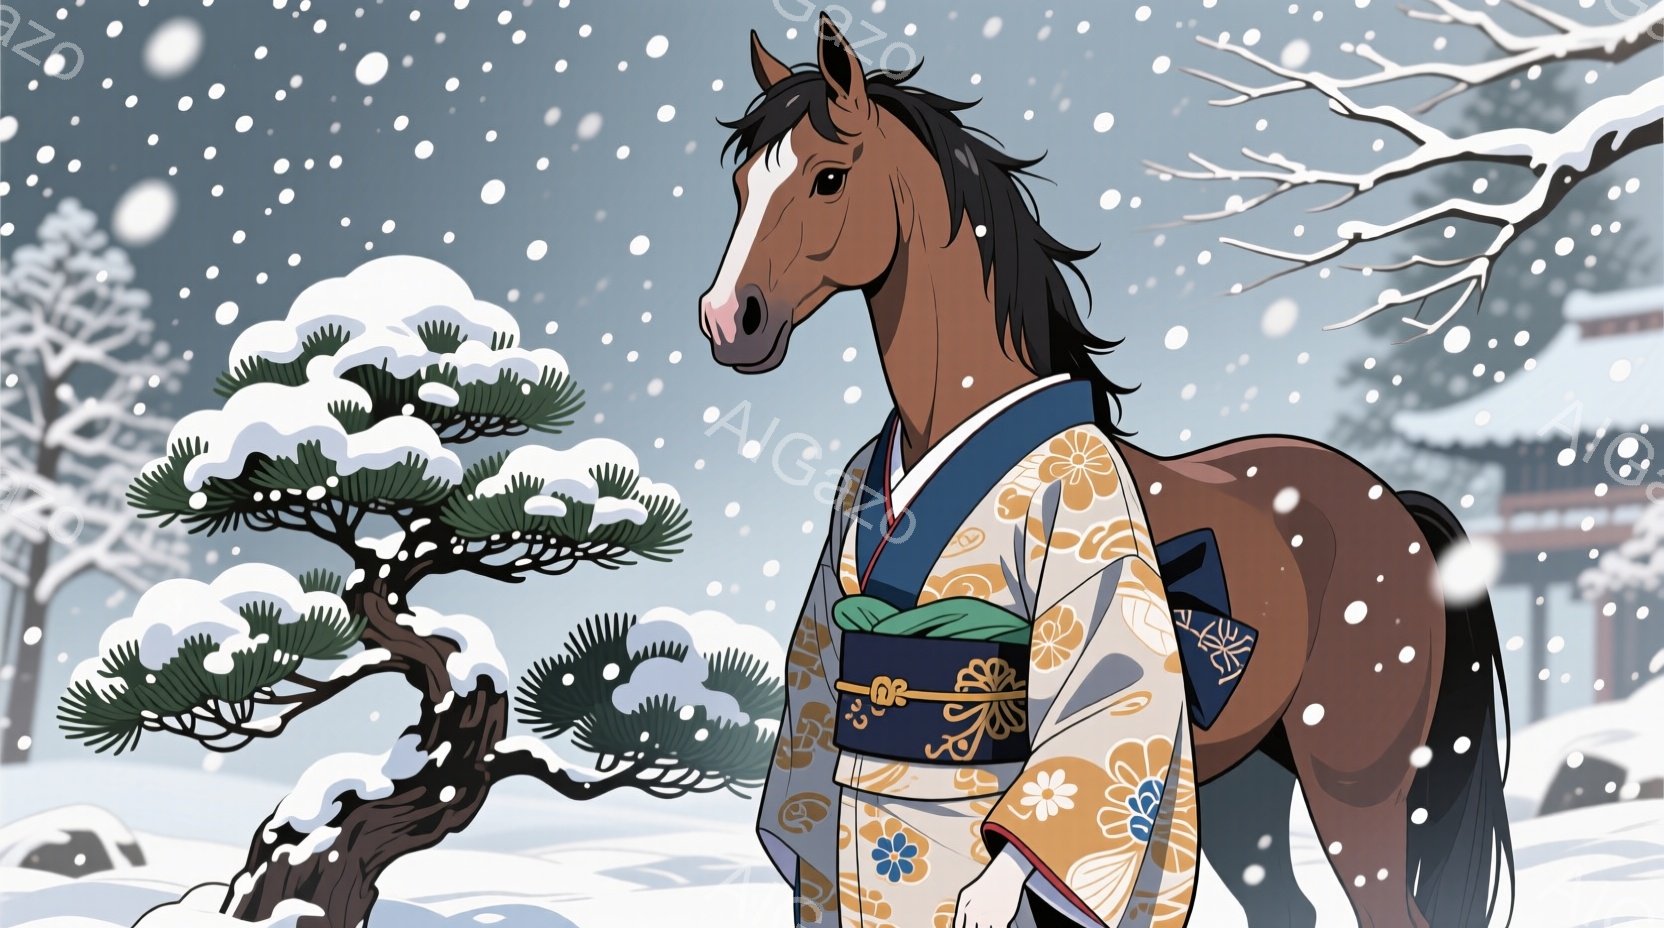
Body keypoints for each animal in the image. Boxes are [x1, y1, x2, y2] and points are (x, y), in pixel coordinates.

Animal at [698, 17, 1512, 928]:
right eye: (740, 185)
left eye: (829, 179)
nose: (728, 319)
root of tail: (1390, 501)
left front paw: (988, 892)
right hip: (1244, 780)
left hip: (1356, 775)